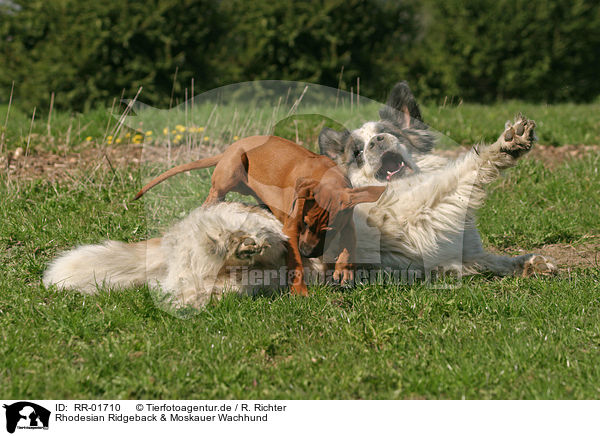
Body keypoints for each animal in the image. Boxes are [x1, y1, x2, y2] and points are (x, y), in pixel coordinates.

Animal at [133, 135, 382, 294]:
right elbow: (295, 264)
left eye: (329, 231)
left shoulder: (347, 218)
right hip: (232, 171)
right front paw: (300, 292)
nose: (307, 253)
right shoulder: (291, 229)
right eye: (305, 224)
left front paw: (344, 270)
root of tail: (231, 147)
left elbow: (349, 243)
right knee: (212, 199)